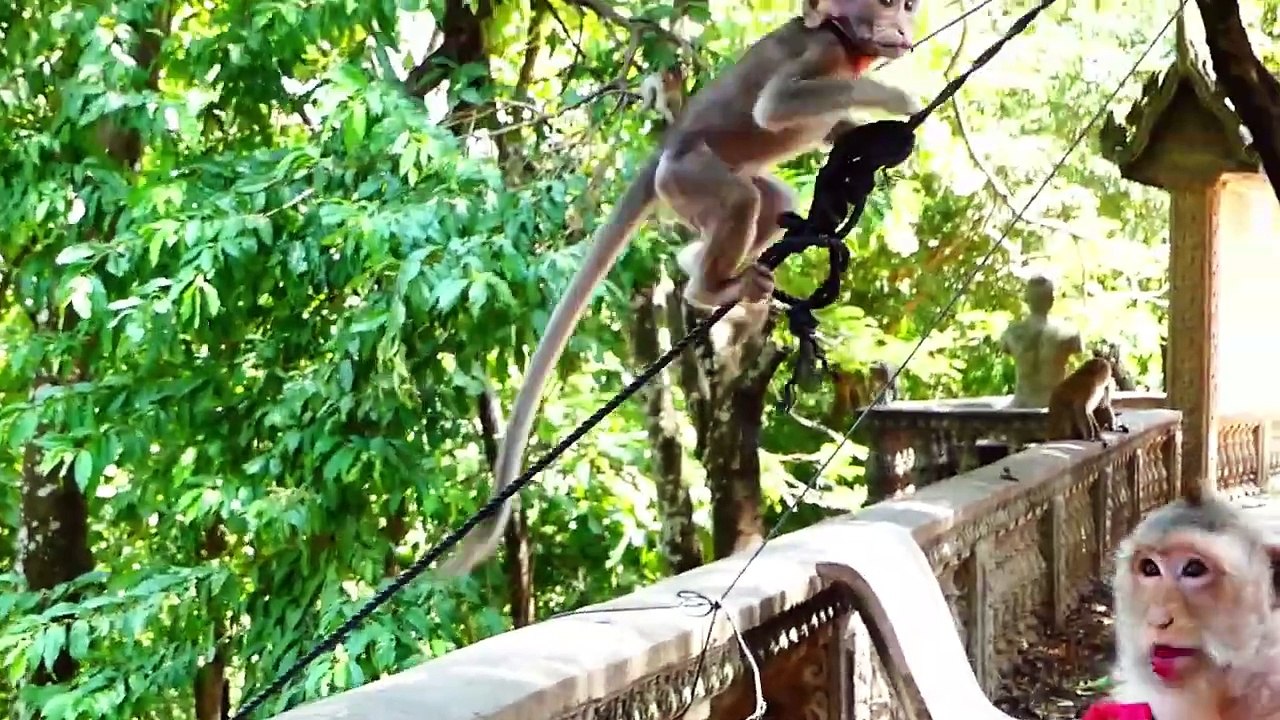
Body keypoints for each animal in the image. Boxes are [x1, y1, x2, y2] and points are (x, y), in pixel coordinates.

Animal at [437, 0, 924, 576]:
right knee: (740, 199)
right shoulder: (822, 51)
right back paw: (708, 290)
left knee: (767, 198)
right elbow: (776, 106)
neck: (848, 48)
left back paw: (704, 269)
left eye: (907, 7)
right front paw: (891, 98)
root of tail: (665, 149)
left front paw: (858, 141)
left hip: (692, 190)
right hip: (687, 177)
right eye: (888, 6)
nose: (903, 30)